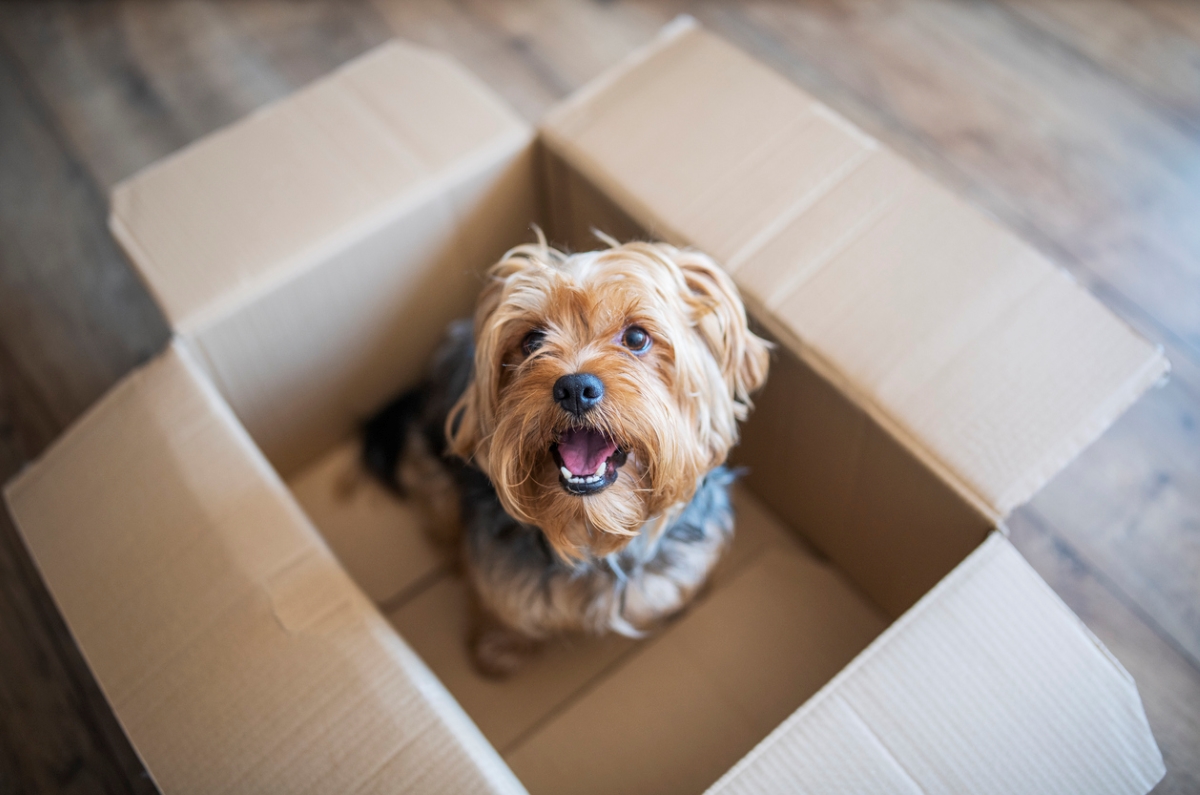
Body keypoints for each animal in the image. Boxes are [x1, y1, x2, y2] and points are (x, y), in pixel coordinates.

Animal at [364, 237, 772, 677]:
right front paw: (498, 645)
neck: (591, 529)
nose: (575, 388)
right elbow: (499, 602)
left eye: (636, 338)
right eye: (531, 341)